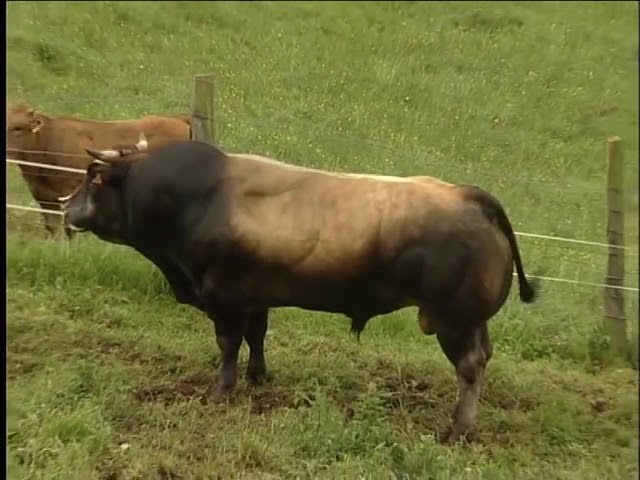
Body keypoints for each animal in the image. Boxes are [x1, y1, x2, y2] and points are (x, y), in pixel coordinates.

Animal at [59, 138, 539, 445]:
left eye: (95, 178)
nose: (66, 210)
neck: (196, 198)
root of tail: (467, 195)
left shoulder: (224, 296)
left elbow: (228, 343)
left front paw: (222, 390)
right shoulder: (255, 295)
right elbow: (256, 336)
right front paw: (258, 377)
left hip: (454, 322)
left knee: (470, 369)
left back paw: (457, 430)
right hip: (473, 322)